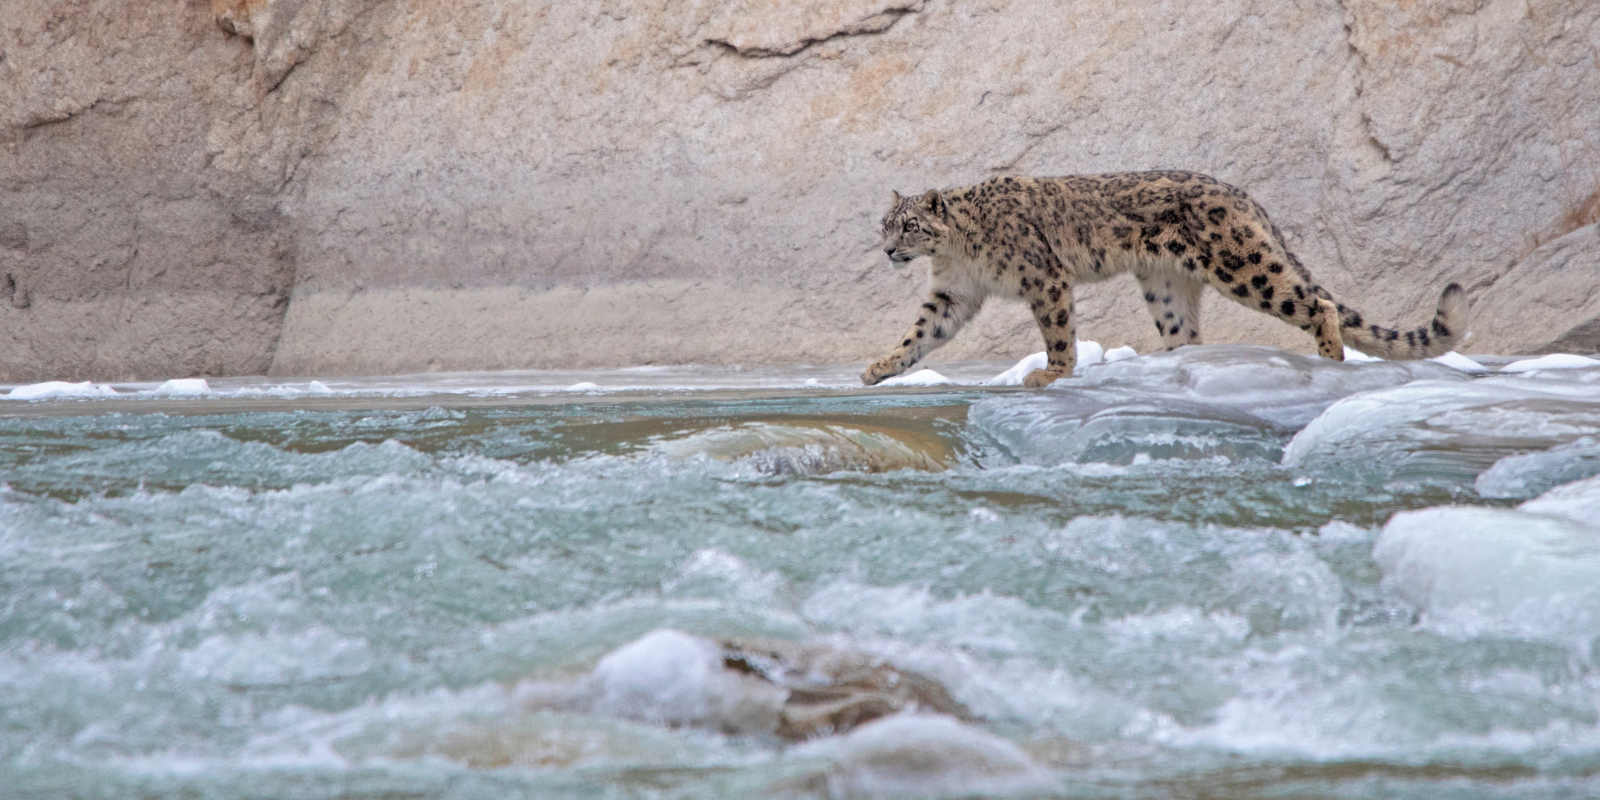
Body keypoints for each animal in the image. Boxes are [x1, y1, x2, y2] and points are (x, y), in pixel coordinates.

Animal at [862, 171, 1465, 388]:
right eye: (885, 224)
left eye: (910, 225)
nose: (889, 249)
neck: (957, 254)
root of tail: (1243, 196)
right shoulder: (953, 293)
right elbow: (921, 333)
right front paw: (880, 367)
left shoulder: (1044, 279)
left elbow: (1057, 330)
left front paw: (1051, 373)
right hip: (1165, 287)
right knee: (1187, 333)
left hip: (1244, 269)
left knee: (1317, 303)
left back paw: (1331, 360)